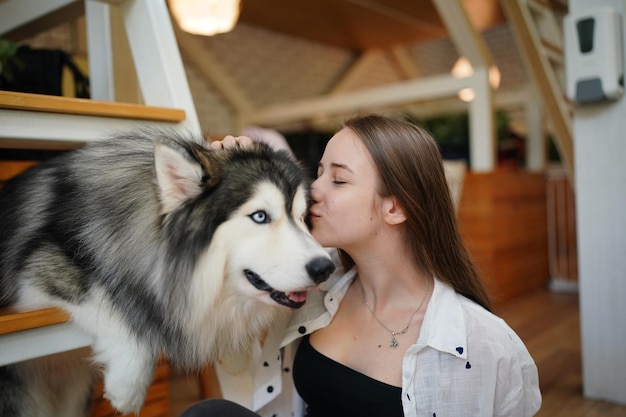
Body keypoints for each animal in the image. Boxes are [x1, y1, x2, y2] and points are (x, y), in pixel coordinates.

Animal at [0, 129, 334, 412]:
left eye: (302, 217)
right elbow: (112, 300)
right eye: (260, 216)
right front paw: (128, 383)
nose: (325, 268)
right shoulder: (37, 273)